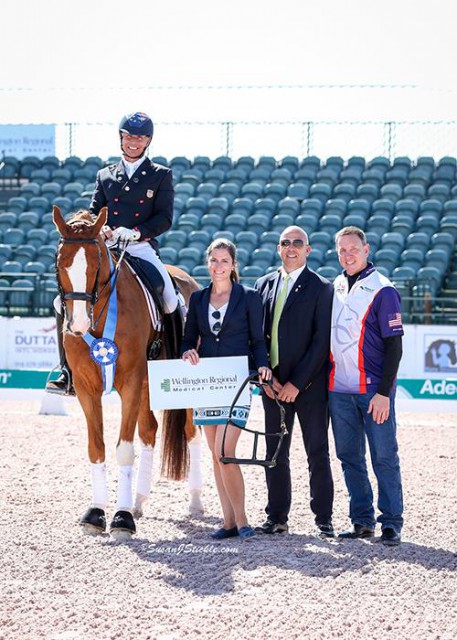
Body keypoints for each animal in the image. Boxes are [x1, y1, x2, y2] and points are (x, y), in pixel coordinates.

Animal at [52, 208, 201, 536]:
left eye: (96, 264)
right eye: (60, 262)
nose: (78, 325)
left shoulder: (131, 382)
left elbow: (124, 450)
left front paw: (121, 518)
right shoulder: (86, 387)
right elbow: (96, 447)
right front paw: (97, 513)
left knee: (190, 432)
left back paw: (195, 502)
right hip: (148, 386)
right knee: (149, 432)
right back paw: (139, 501)